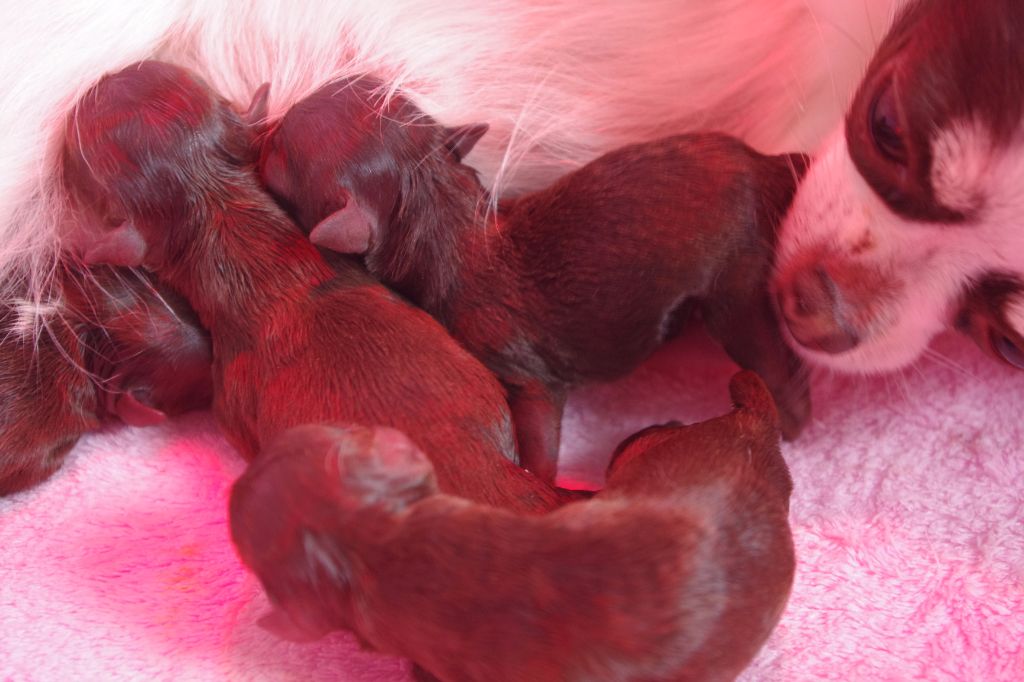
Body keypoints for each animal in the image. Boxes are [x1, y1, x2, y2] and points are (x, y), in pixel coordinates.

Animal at [260, 76, 811, 481]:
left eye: (279, 148)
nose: (263, 120)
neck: (442, 211)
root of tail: (765, 164)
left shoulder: (528, 379)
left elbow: (539, 434)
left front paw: (537, 477)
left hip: (737, 289)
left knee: (771, 362)